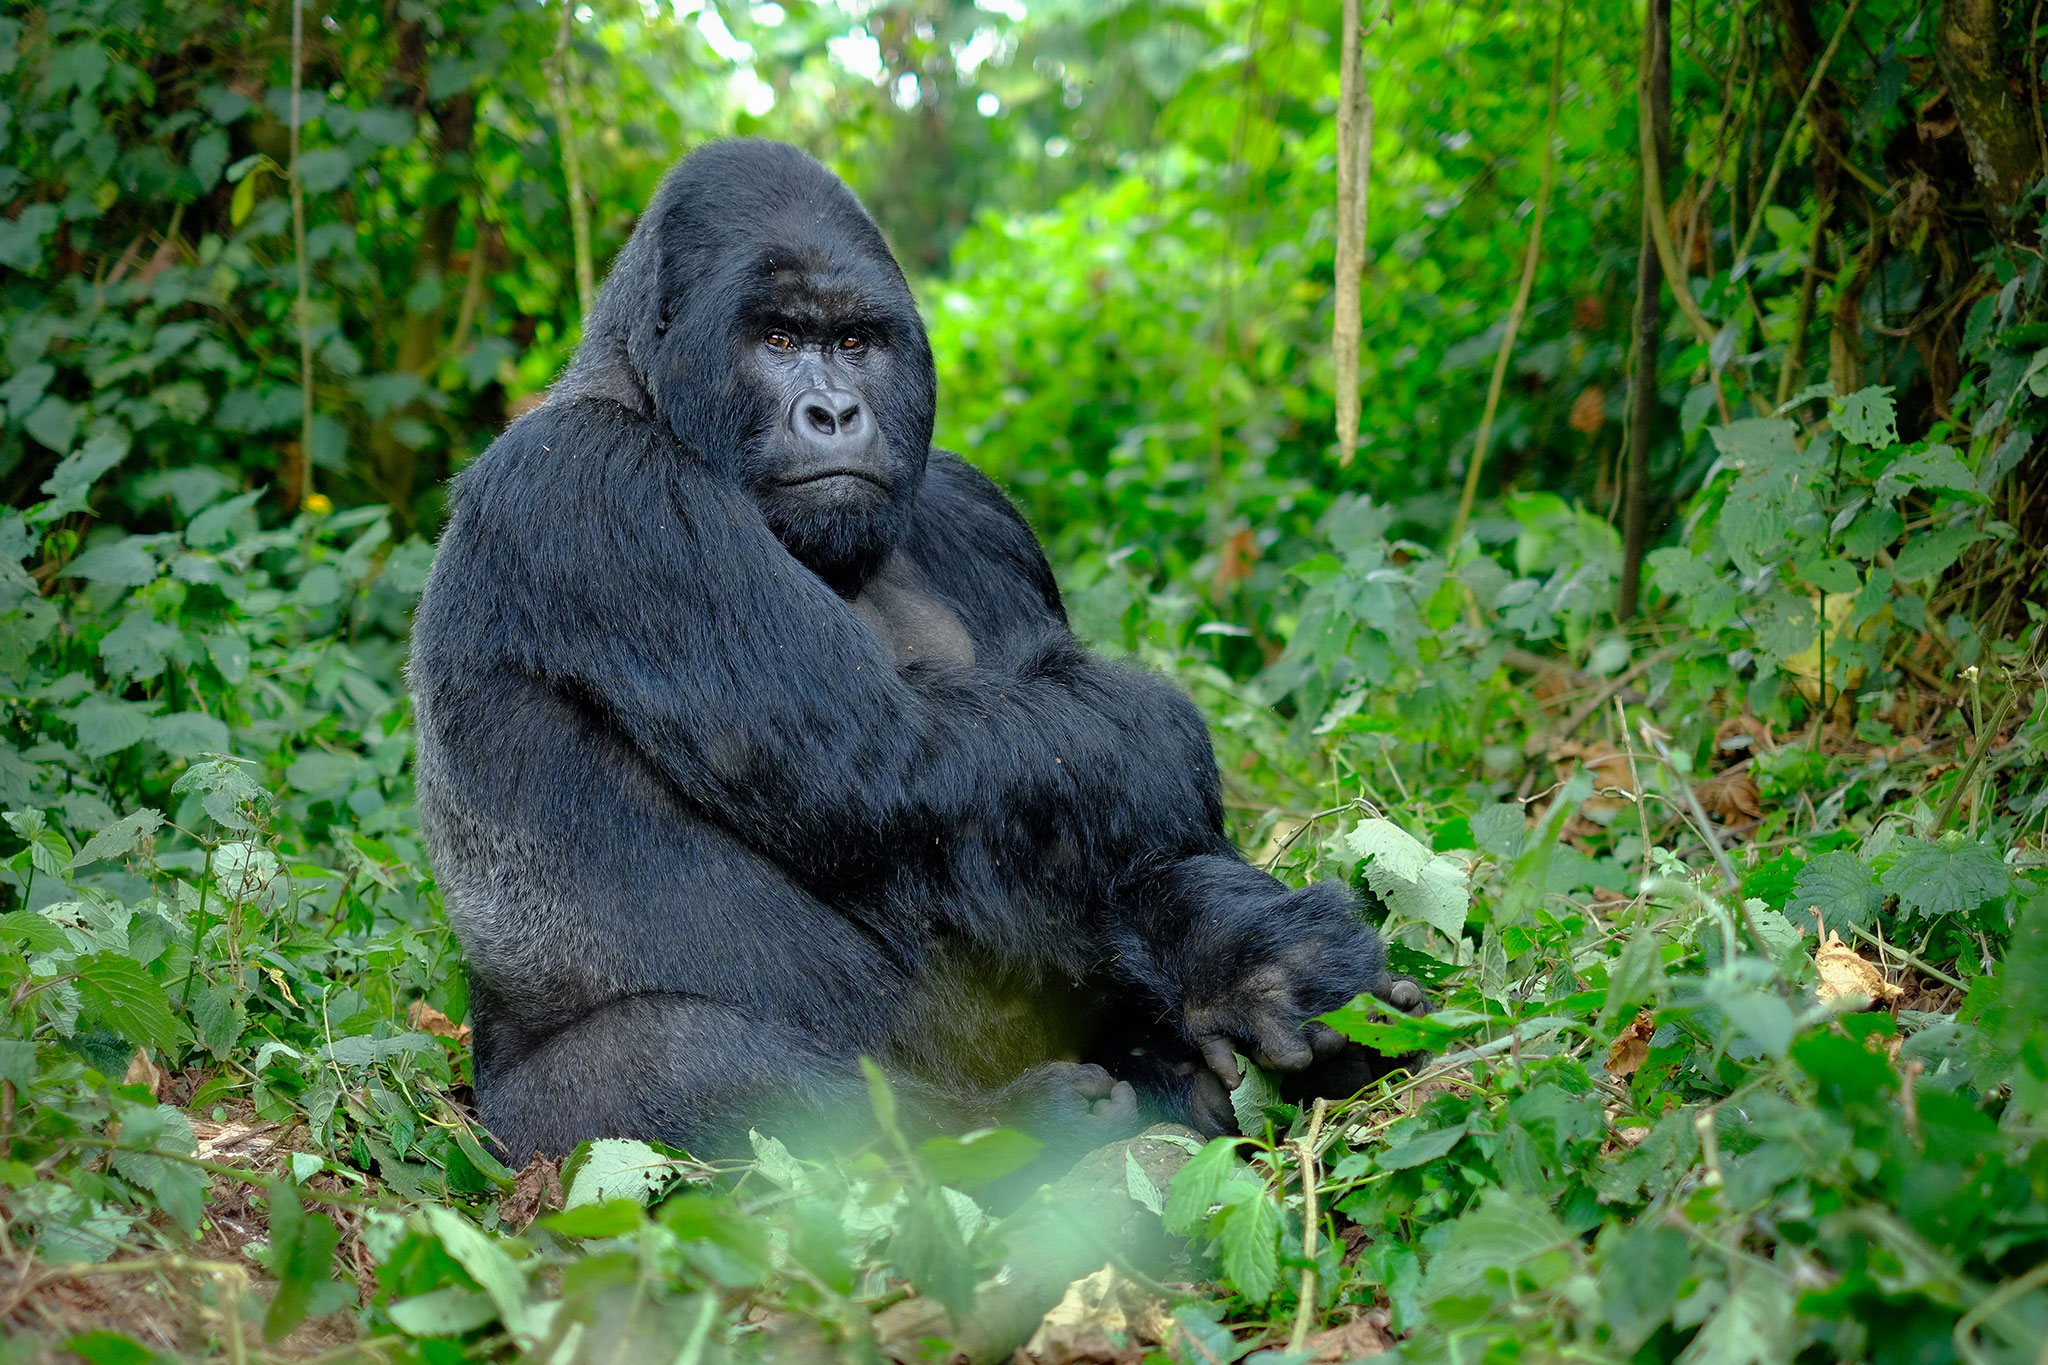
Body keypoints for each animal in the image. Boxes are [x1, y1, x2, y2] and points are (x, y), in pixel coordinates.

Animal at [403, 139, 1425, 1170]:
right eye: (778, 341)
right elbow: (901, 760)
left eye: (857, 343)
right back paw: (1005, 1134)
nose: (834, 412)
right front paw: (1175, 745)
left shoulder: (978, 510)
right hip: (522, 1133)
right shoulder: (595, 485)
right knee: (672, 1056)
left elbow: (1078, 816)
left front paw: (1260, 960)